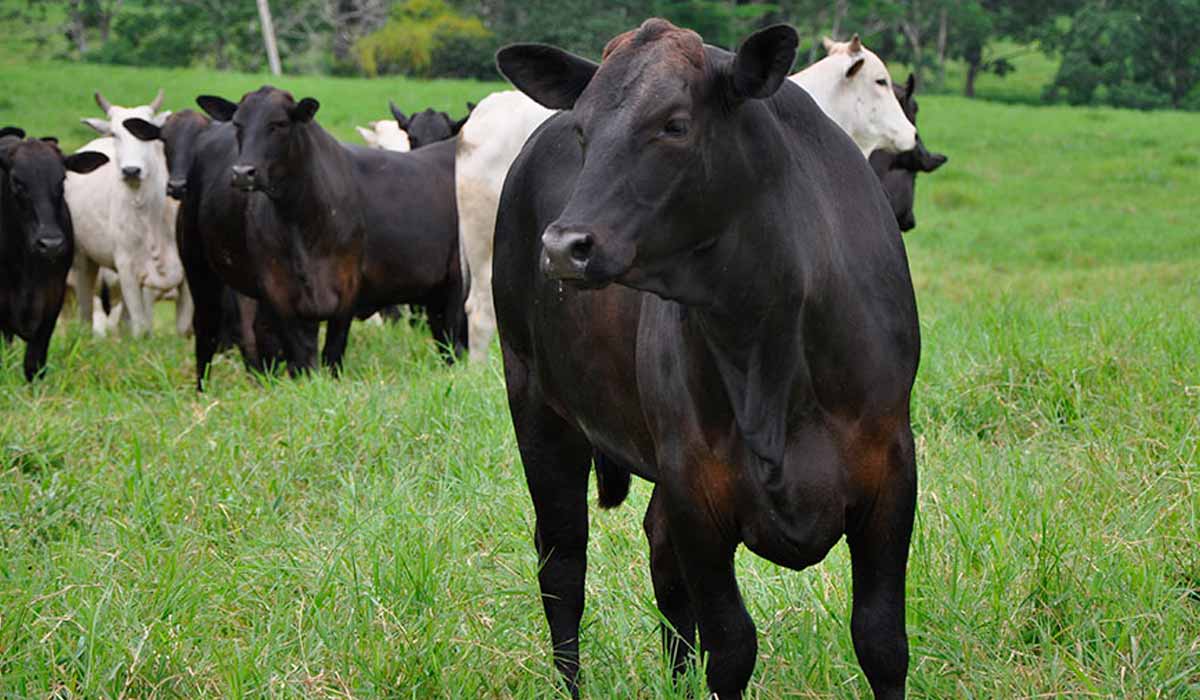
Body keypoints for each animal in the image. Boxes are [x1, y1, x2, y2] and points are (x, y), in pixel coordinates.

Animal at [66, 91, 184, 338]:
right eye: (115, 134)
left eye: (147, 135)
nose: (131, 170)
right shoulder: (127, 265)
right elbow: (141, 324)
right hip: (83, 260)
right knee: (86, 311)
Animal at [492, 19, 921, 696]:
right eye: (583, 130)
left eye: (674, 124)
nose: (563, 246)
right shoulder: (696, 486)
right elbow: (731, 646)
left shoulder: (891, 474)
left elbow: (881, 641)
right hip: (537, 404)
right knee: (562, 562)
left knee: (657, 556)